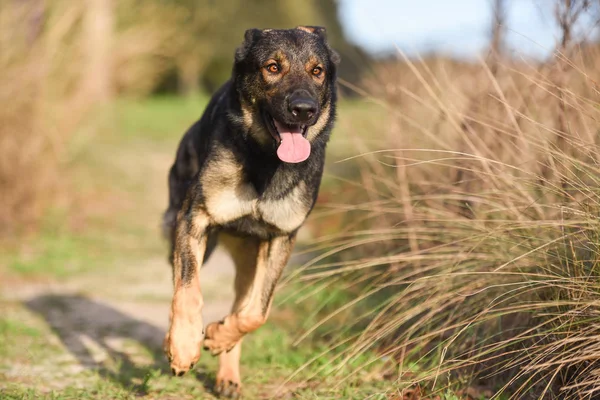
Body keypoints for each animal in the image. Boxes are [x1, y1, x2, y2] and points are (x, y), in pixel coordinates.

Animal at [161, 26, 338, 398]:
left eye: (317, 71)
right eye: (272, 67)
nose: (304, 109)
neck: (266, 160)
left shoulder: (283, 237)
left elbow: (257, 311)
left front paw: (218, 337)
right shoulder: (193, 220)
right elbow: (188, 292)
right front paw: (183, 347)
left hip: (250, 262)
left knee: (242, 304)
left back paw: (227, 368)